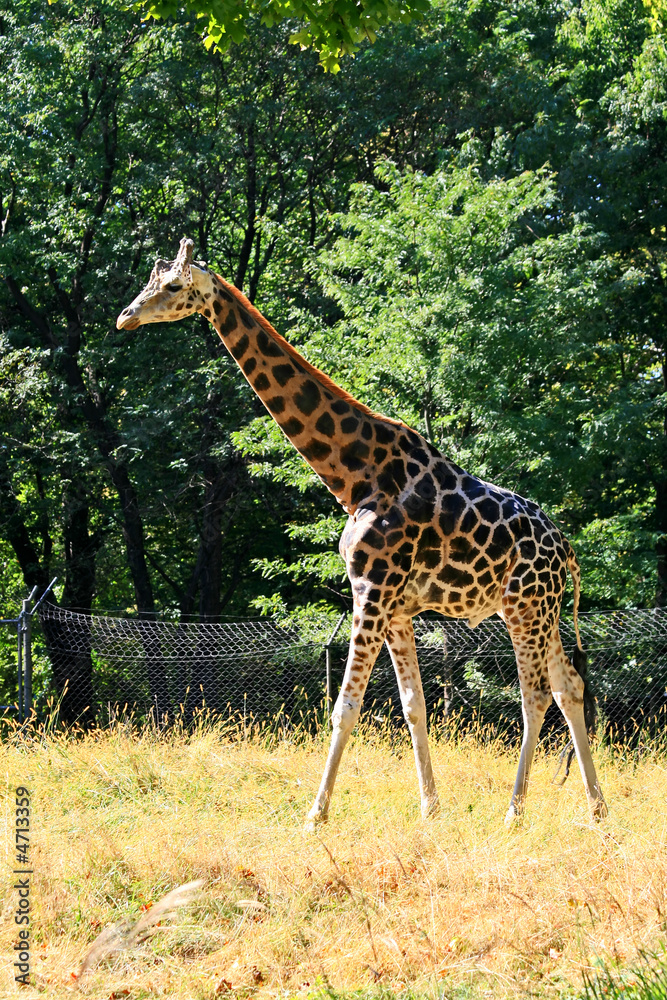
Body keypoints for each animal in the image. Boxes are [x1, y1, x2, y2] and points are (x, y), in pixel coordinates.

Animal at [117, 238, 608, 828]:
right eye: (147, 281)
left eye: (171, 286)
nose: (125, 316)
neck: (353, 476)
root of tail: (568, 551)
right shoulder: (396, 605)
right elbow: (413, 706)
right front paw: (430, 810)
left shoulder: (371, 589)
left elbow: (345, 706)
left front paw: (314, 816)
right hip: (543, 609)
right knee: (568, 687)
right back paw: (598, 811)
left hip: (523, 606)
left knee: (534, 696)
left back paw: (513, 814)